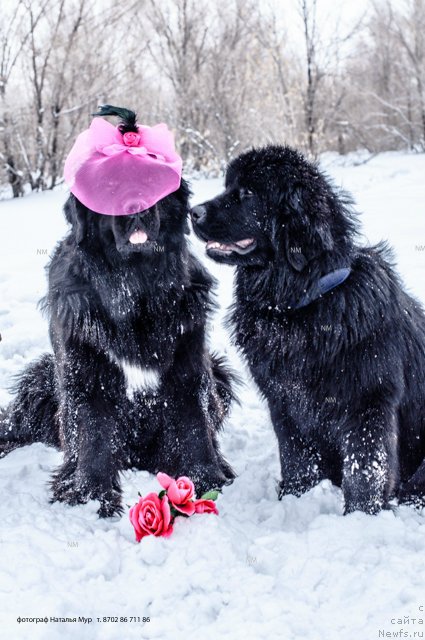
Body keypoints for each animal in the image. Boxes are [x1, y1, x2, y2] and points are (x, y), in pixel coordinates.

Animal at [0, 156, 234, 520]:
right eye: (109, 185)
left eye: (152, 180)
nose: (135, 205)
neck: (134, 286)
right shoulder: (87, 373)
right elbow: (94, 435)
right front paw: (91, 496)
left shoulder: (189, 363)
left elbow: (194, 424)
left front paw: (206, 480)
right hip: (41, 378)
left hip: (219, 373)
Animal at [191, 146, 424, 516]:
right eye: (228, 187)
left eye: (247, 193)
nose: (193, 212)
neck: (301, 304)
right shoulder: (284, 402)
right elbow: (298, 458)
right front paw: (295, 497)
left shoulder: (369, 401)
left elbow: (365, 466)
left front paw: (360, 515)